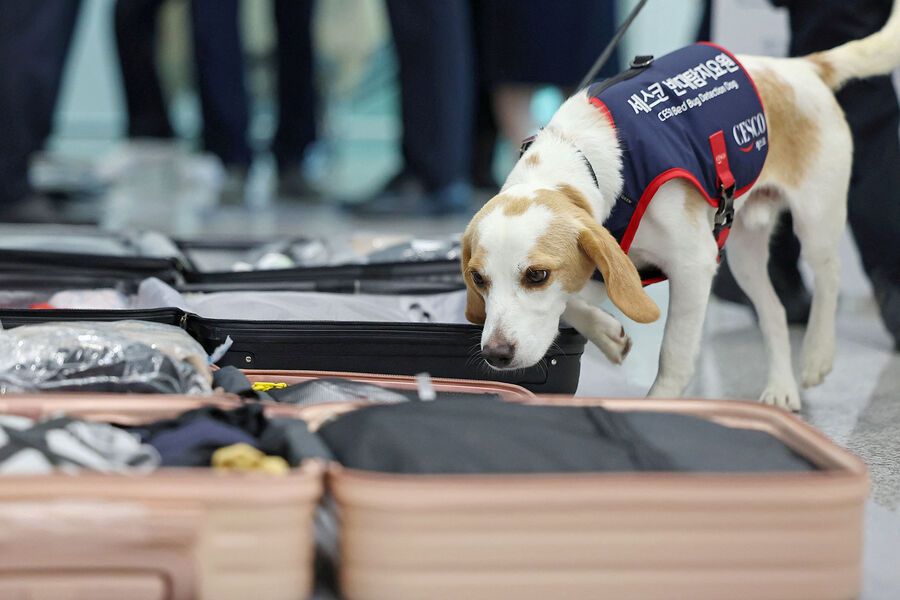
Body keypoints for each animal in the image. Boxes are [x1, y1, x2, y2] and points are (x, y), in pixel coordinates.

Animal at [464, 2, 900, 410]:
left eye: (537, 275)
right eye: (478, 280)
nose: (496, 355)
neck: (580, 155)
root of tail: (800, 67)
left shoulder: (693, 264)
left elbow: (674, 353)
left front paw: (661, 403)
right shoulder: (605, 265)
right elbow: (571, 304)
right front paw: (606, 333)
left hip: (815, 220)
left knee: (829, 275)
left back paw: (816, 356)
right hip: (742, 252)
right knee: (775, 313)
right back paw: (781, 388)